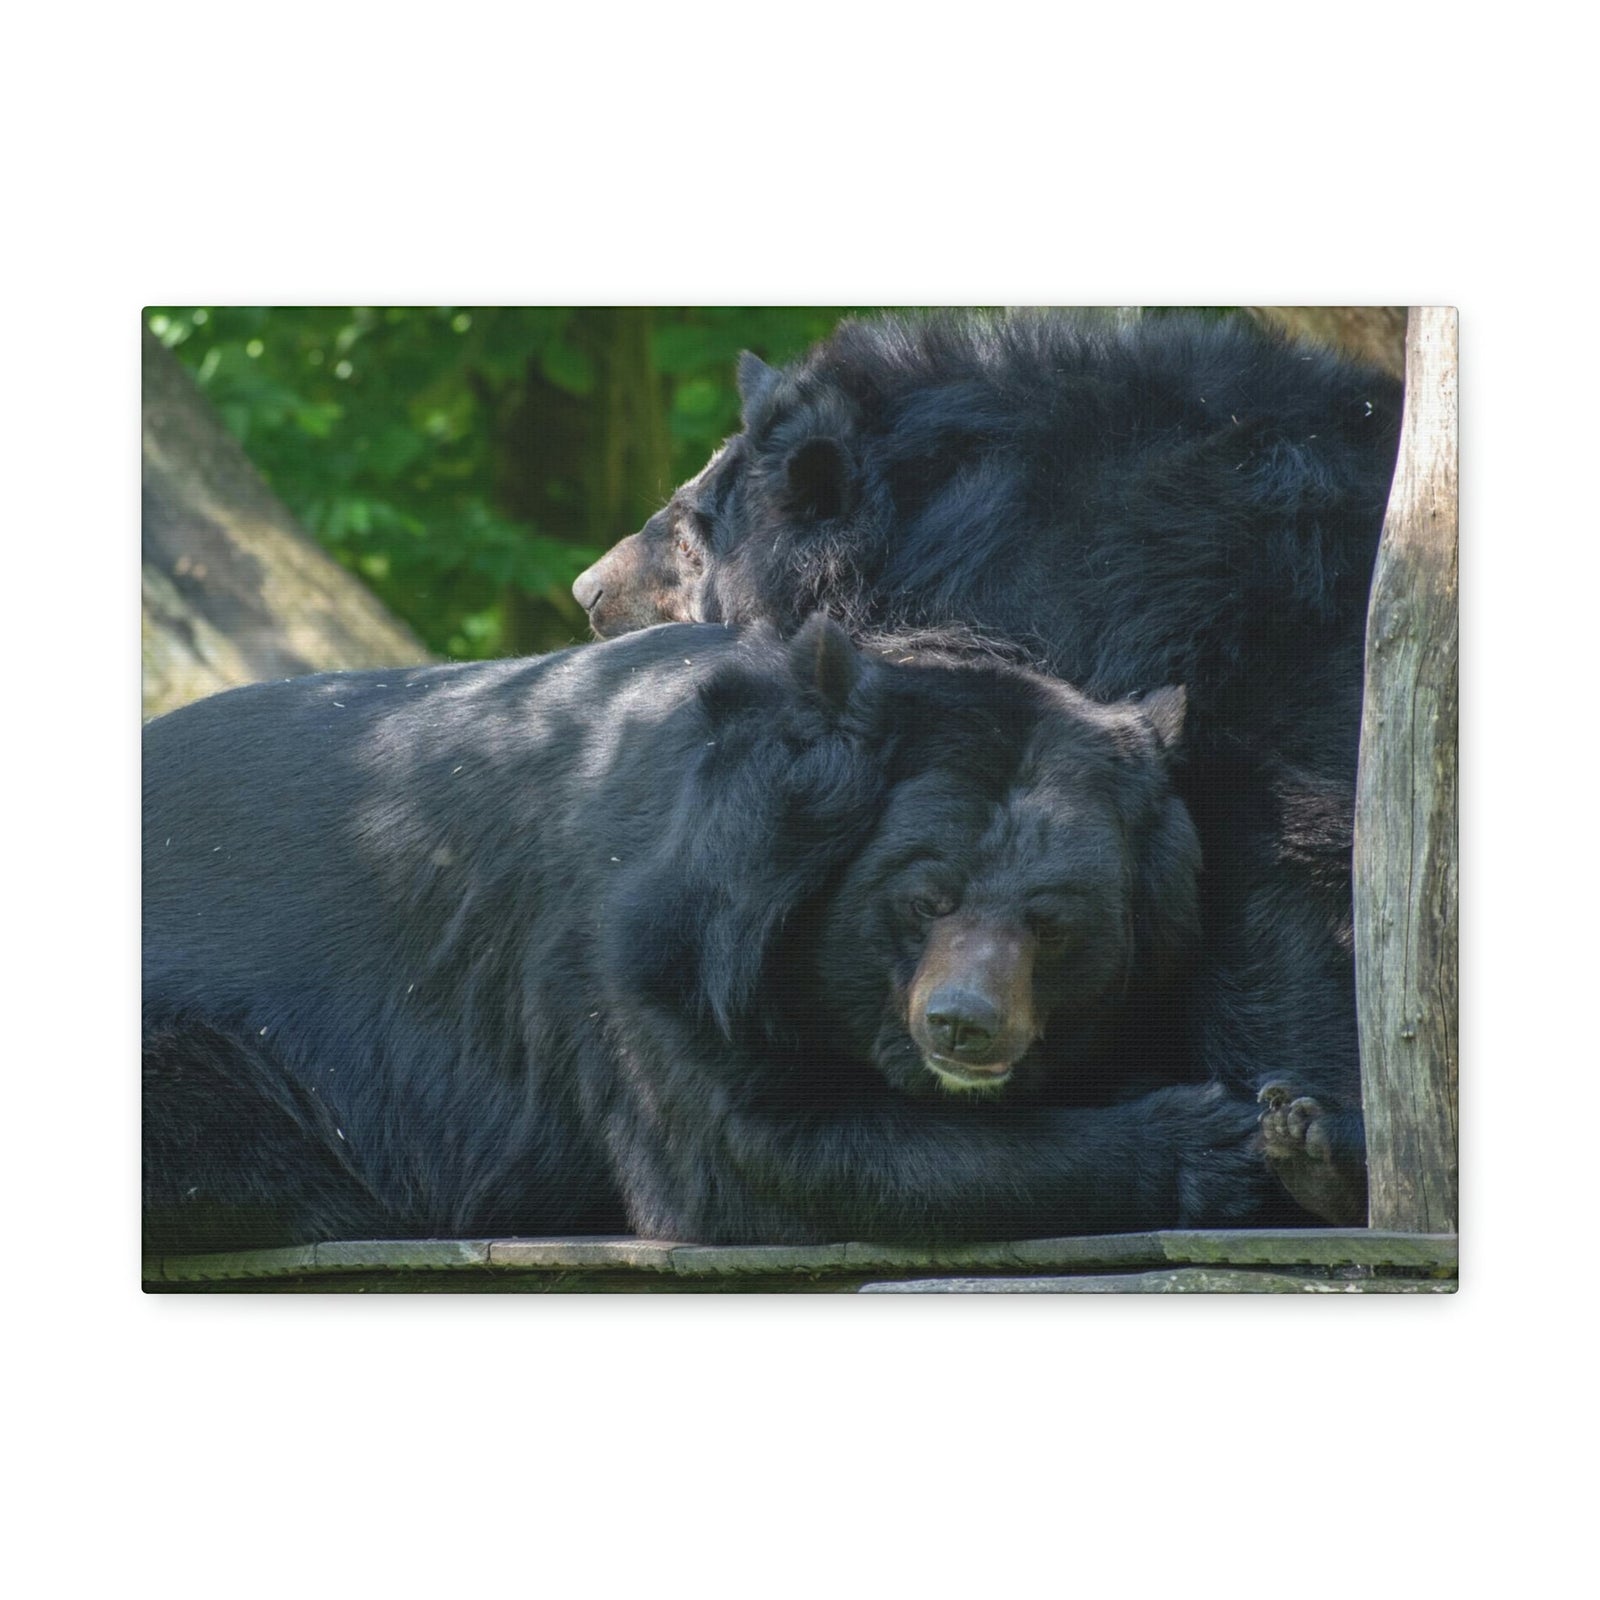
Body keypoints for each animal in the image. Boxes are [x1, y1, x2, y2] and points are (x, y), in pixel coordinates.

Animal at [143, 615, 1273, 1255]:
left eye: (1053, 922)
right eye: (925, 897)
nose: (965, 1027)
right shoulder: (640, 949)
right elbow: (759, 1155)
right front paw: (1216, 1142)